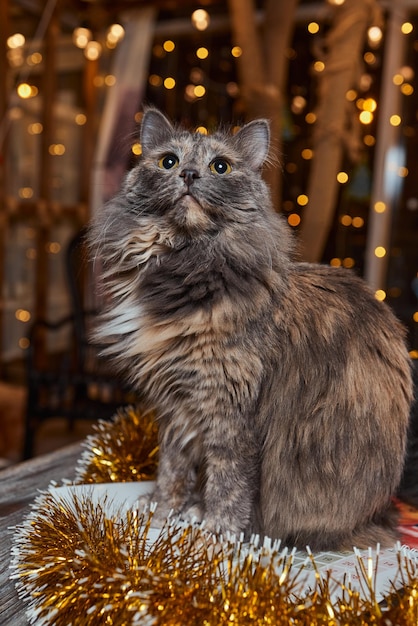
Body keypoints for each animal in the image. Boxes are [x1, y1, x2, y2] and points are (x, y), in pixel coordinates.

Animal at [90, 109, 414, 548]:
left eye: (220, 167)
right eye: (168, 161)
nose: (189, 174)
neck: (182, 268)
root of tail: (381, 515)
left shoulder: (227, 409)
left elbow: (228, 484)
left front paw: (215, 537)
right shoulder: (176, 405)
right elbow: (172, 468)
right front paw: (161, 513)